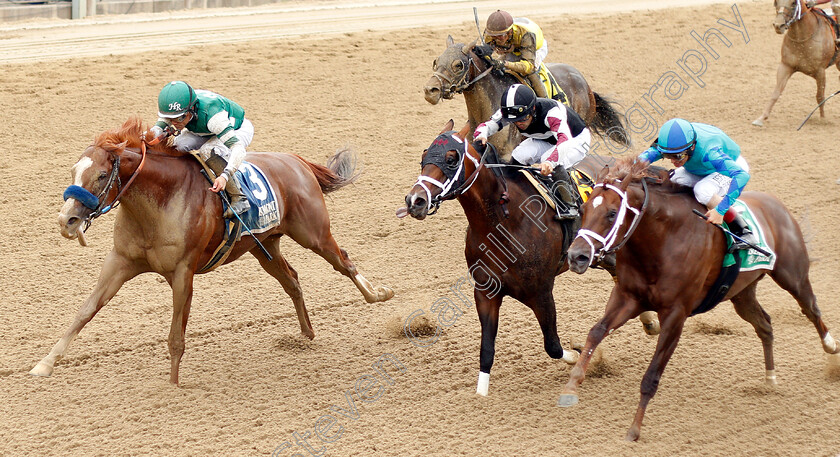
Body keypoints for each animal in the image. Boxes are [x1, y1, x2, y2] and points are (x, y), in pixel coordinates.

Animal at [32, 116, 394, 382]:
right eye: (74, 171)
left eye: (102, 174)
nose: (67, 220)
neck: (160, 200)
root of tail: (296, 161)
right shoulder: (121, 261)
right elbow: (86, 310)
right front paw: (45, 363)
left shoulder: (182, 272)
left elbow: (175, 337)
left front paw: (173, 385)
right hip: (264, 246)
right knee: (291, 280)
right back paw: (306, 335)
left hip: (314, 233)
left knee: (343, 262)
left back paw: (378, 294)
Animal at [400, 120, 656, 396]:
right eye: (423, 157)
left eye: (450, 158)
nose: (415, 200)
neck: (503, 221)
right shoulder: (486, 291)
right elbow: (486, 349)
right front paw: (481, 395)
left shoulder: (541, 292)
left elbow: (552, 345)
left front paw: (578, 354)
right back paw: (649, 321)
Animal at [556, 157, 840, 438]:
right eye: (583, 210)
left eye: (612, 213)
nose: (576, 256)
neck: (662, 240)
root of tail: (777, 204)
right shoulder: (628, 298)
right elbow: (596, 332)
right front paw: (571, 387)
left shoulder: (675, 314)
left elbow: (651, 376)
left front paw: (634, 429)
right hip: (741, 292)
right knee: (765, 325)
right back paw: (770, 378)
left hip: (792, 274)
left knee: (811, 308)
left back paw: (831, 349)